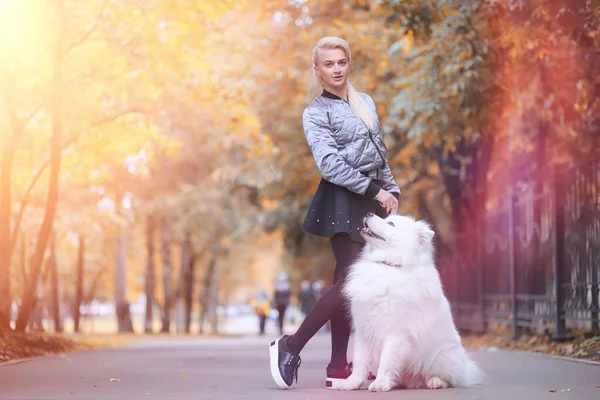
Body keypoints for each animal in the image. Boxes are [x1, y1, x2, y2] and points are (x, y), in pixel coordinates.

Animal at [336, 212, 486, 390]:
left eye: (391, 224)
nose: (368, 213)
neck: (389, 265)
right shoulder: (363, 328)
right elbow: (359, 359)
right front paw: (351, 383)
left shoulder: (395, 332)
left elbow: (386, 360)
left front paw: (380, 383)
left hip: (441, 356)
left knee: (448, 378)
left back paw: (435, 382)